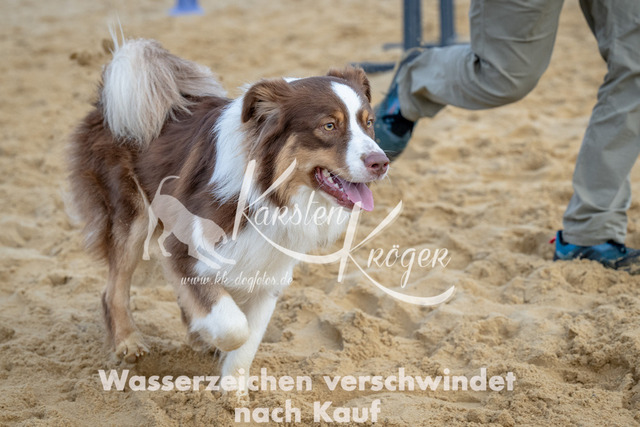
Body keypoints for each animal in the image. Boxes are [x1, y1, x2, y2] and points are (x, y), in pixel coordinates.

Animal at [68, 36, 389, 397]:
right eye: (329, 125)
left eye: (369, 122)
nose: (381, 162)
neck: (268, 192)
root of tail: (109, 97)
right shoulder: (184, 246)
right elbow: (235, 326)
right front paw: (213, 339)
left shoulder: (269, 271)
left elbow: (249, 338)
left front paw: (233, 394)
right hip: (131, 216)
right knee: (114, 288)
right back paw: (128, 342)